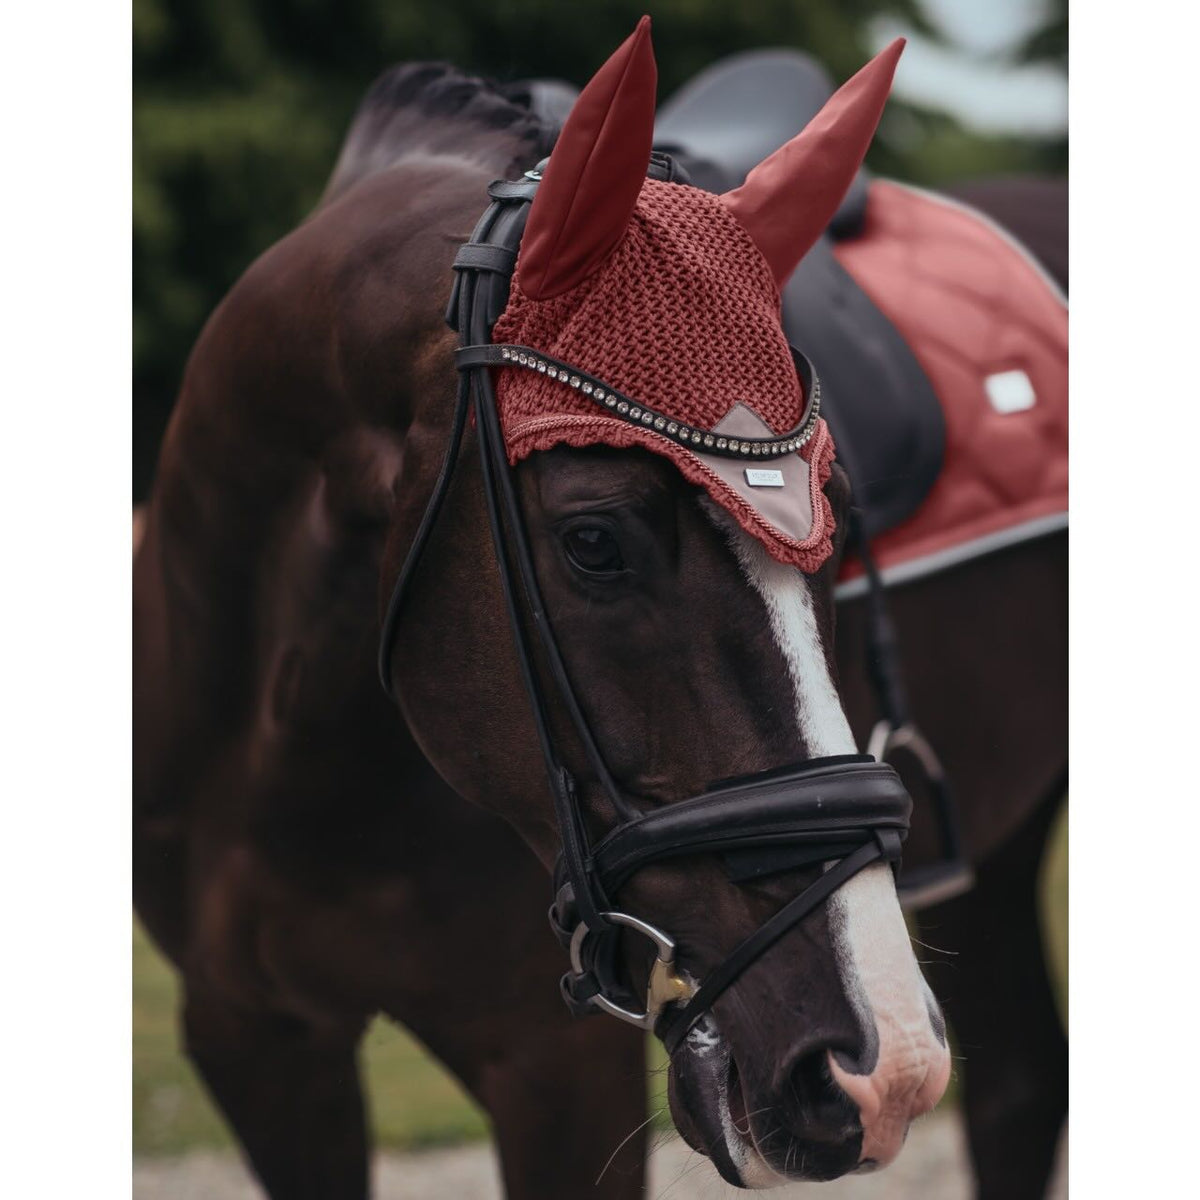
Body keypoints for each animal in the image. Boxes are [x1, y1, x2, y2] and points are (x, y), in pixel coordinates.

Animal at [133, 22, 1066, 1200]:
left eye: (841, 517)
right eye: (594, 541)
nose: (878, 1066)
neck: (292, 749)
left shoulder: (554, 1069)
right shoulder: (255, 1041)